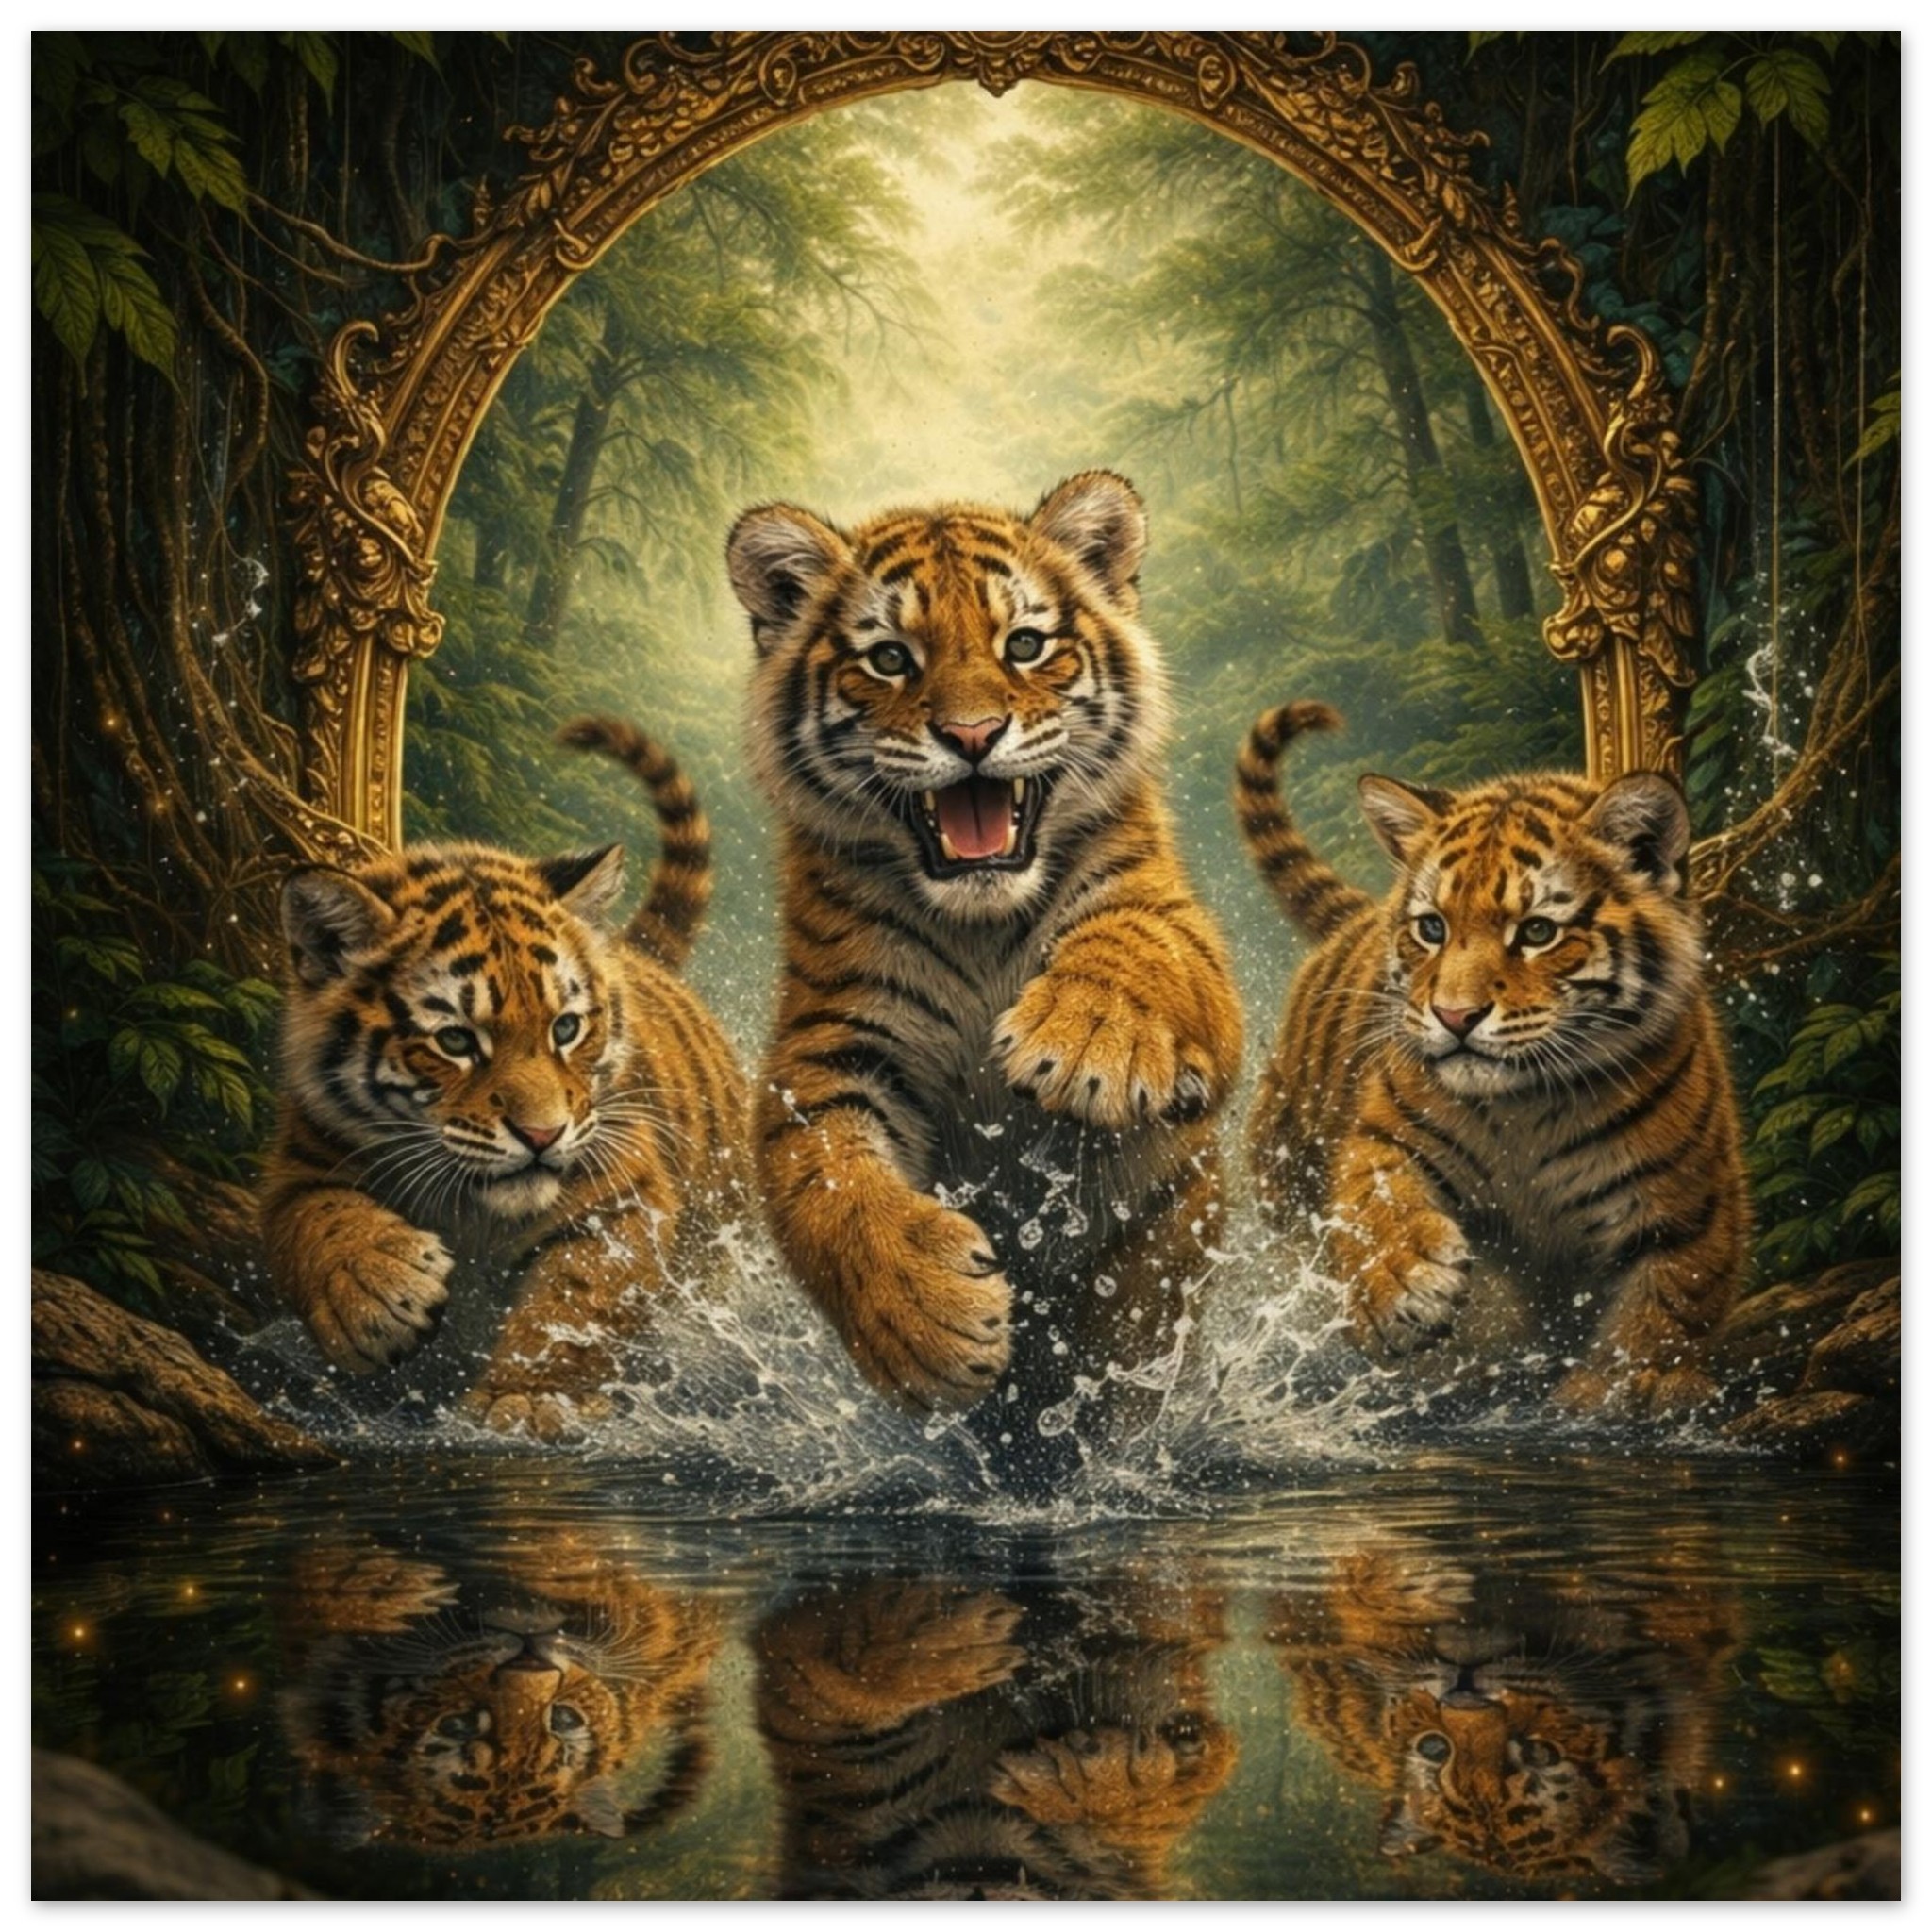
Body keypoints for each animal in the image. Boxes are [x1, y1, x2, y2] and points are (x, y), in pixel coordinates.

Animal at [261, 717, 749, 1439]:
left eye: (565, 1029)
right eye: (456, 1041)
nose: (542, 1135)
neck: (473, 1211)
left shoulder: (624, 1193)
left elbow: (575, 1301)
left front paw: (528, 1398)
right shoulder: (300, 1162)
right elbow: (315, 1221)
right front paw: (377, 1292)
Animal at [727, 471, 1243, 1453]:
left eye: (1025, 646)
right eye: (891, 659)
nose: (972, 735)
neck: (981, 925)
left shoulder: (1179, 932)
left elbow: (1136, 946)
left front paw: (1084, 1042)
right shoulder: (826, 1043)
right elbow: (830, 1184)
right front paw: (926, 1318)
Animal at [1236, 701, 1748, 1414]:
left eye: (1536, 932)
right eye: (1432, 928)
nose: (1455, 1017)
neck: (1530, 1107)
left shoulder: (1689, 1198)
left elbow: (1670, 1298)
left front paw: (1629, 1386)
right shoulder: (1382, 1134)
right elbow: (1374, 1202)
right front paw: (1403, 1284)